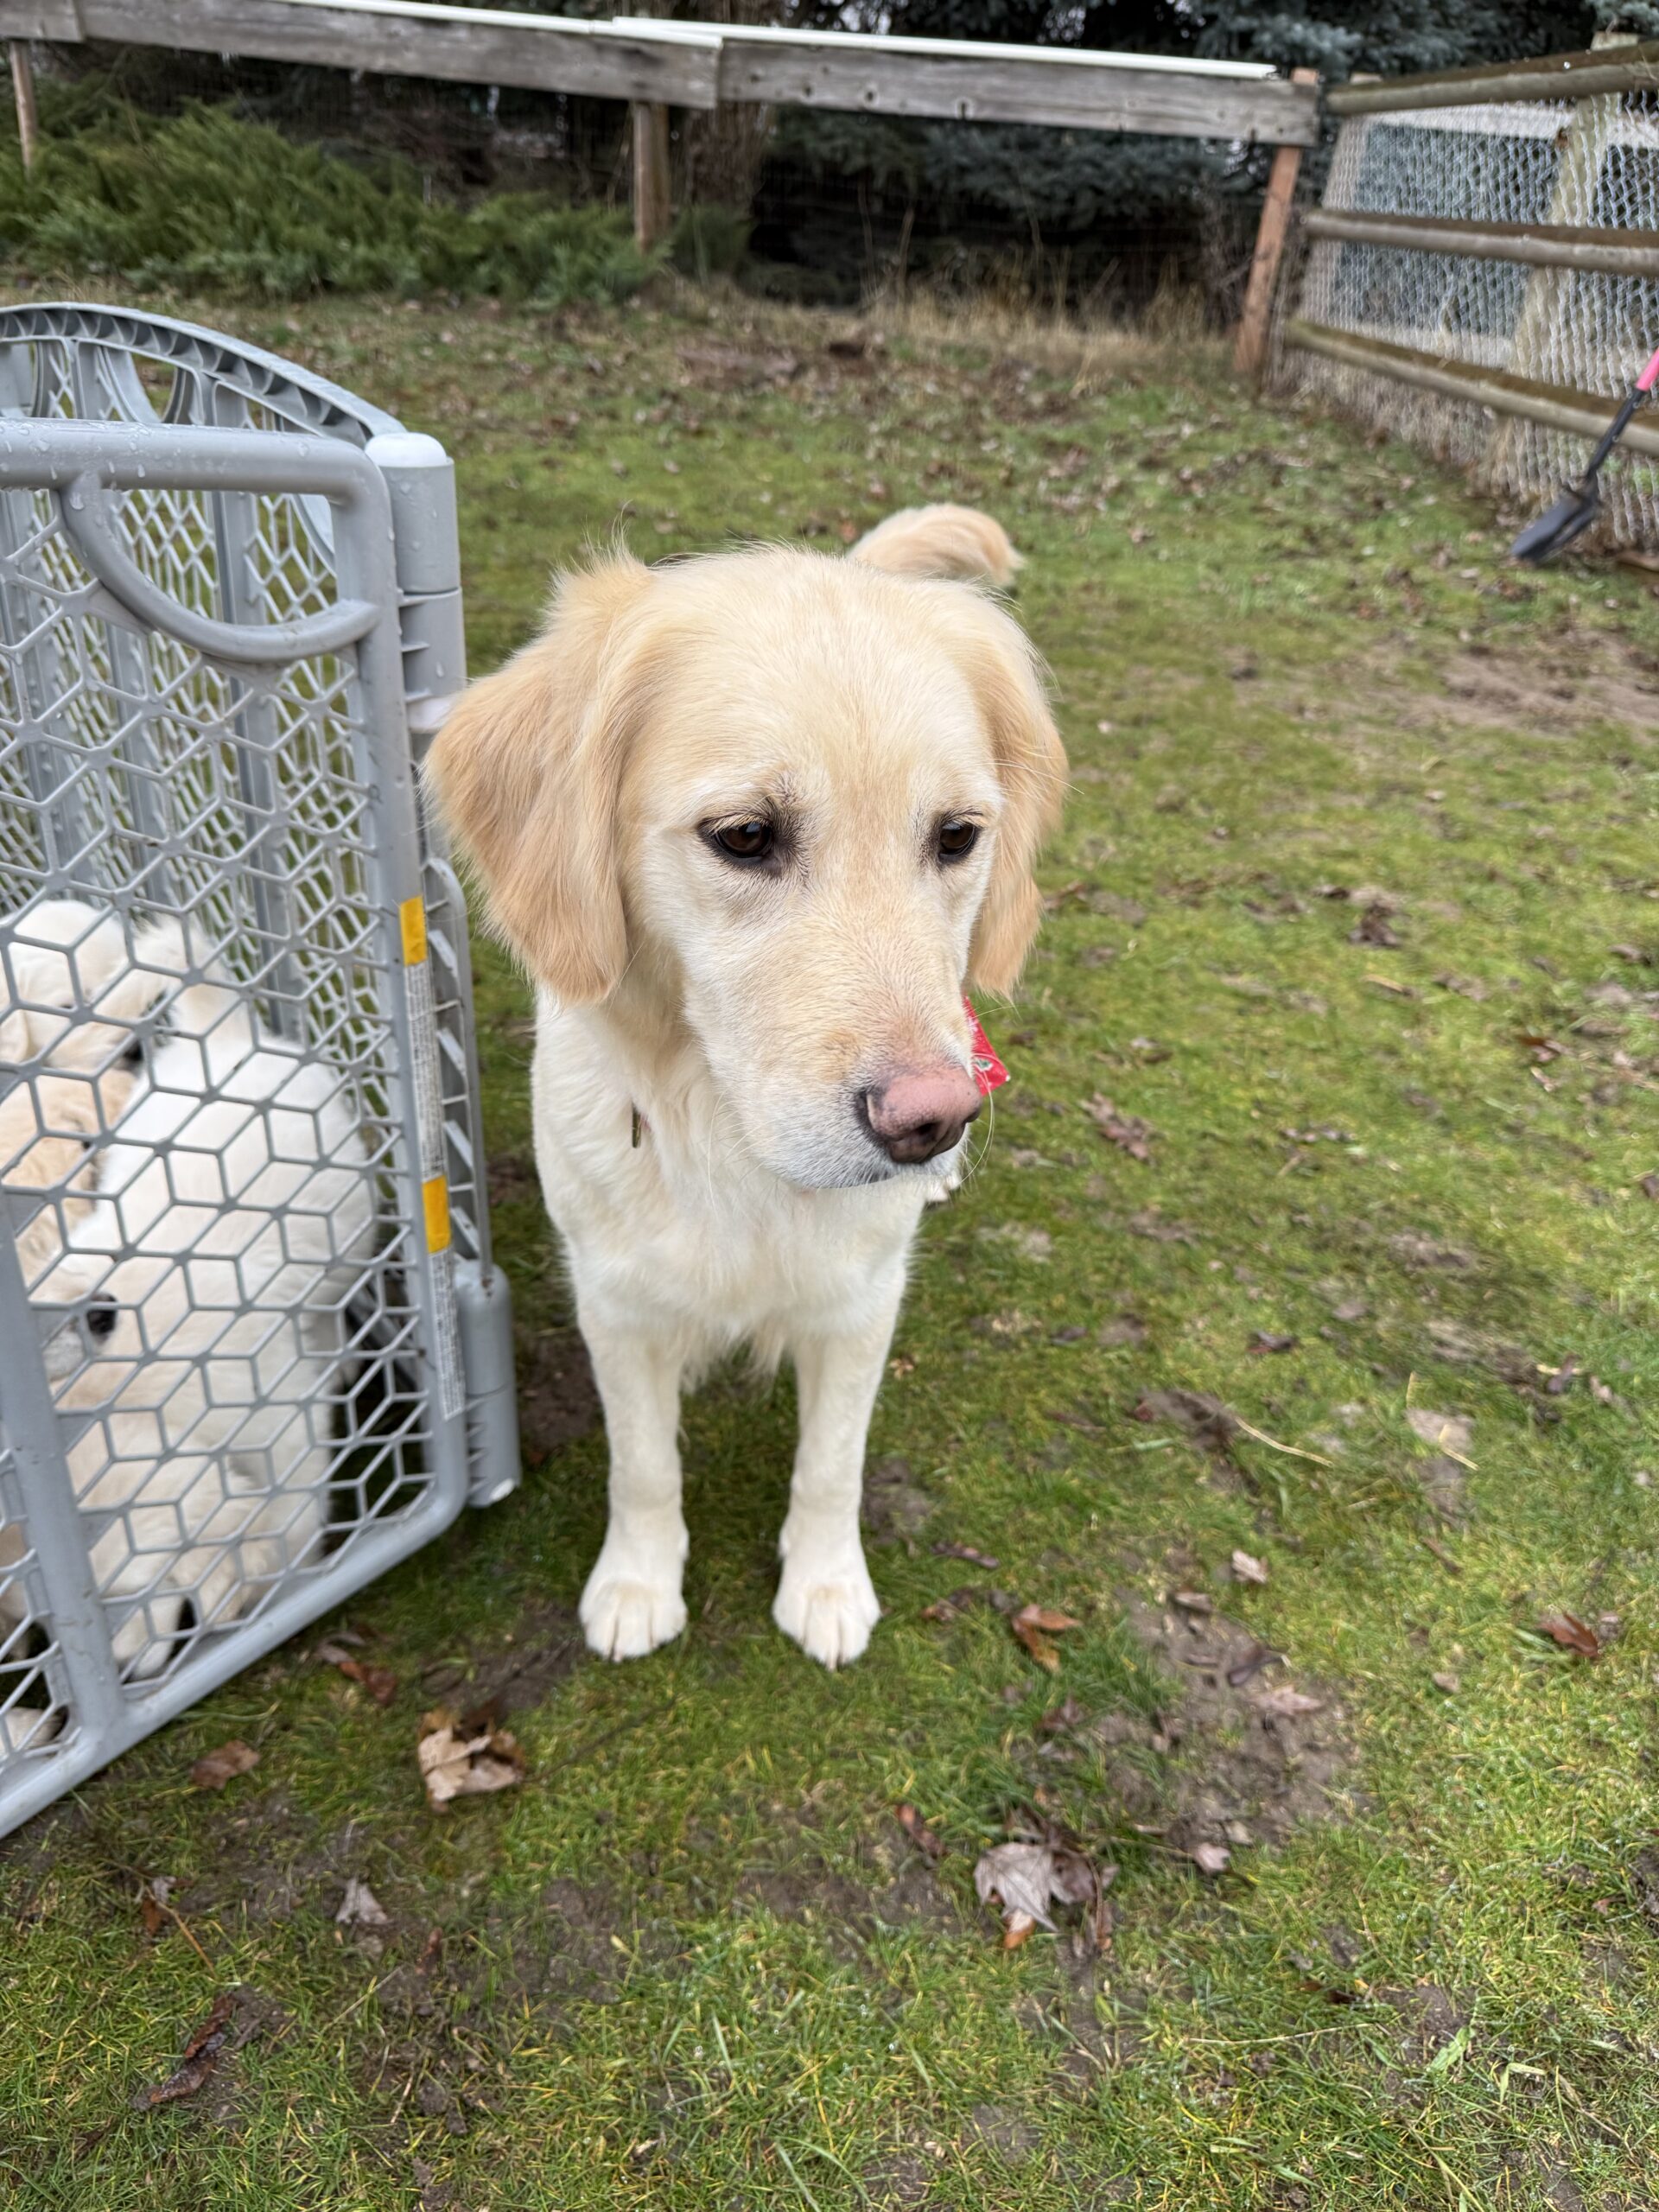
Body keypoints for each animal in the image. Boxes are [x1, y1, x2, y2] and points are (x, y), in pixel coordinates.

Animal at [428, 508, 1064, 1669]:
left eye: (957, 835)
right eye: (745, 836)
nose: (933, 1125)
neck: (728, 1142)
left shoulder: (861, 1301)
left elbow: (831, 1465)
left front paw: (826, 1585)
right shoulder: (615, 1301)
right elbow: (643, 1466)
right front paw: (638, 1583)